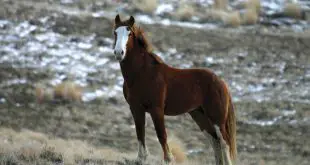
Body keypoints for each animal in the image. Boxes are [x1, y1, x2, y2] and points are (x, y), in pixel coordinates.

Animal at [112, 14, 236, 165]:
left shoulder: (156, 109)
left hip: (217, 118)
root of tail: (221, 82)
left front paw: (168, 160)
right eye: (115, 33)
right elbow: (140, 133)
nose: (119, 53)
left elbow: (161, 135)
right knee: (215, 141)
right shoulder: (136, 108)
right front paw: (141, 158)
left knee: (224, 142)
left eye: (129, 33)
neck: (142, 73)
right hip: (200, 116)